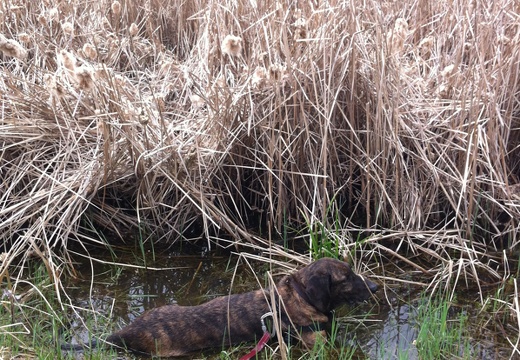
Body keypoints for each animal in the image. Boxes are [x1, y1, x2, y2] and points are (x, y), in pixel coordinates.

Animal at [101, 258, 378, 356]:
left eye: (351, 270)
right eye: (346, 278)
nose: (375, 287)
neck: (302, 296)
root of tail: (126, 332)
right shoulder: (316, 342)